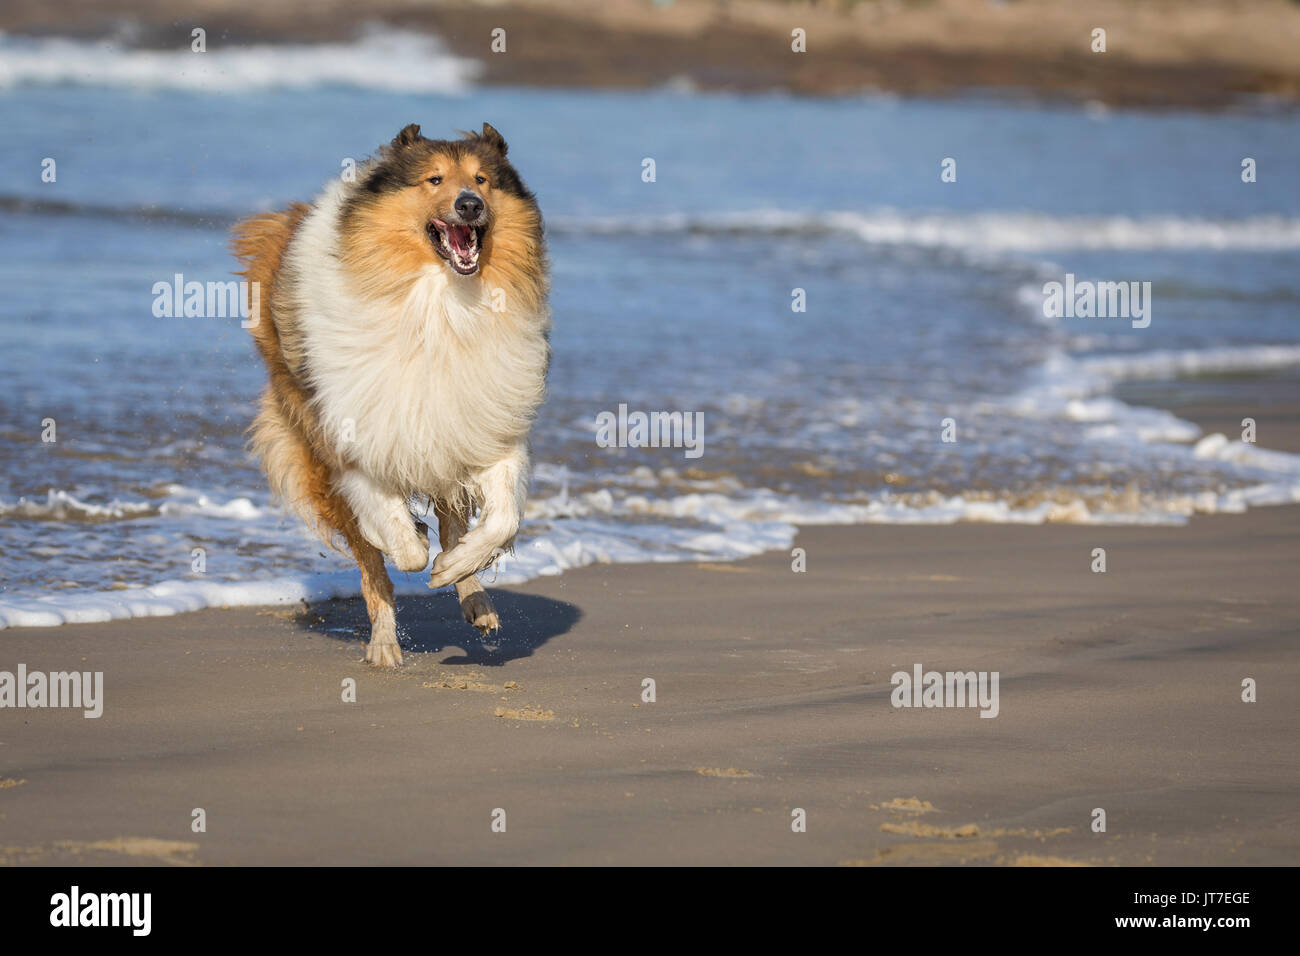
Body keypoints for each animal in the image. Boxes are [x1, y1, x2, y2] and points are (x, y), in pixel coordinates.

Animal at [233, 123, 548, 671]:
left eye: (483, 180)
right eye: (434, 179)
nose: (469, 205)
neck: (441, 306)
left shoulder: (489, 428)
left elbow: (500, 520)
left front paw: (455, 567)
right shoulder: (355, 447)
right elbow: (402, 548)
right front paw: (412, 542)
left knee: (453, 523)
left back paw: (474, 597)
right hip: (315, 452)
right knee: (372, 565)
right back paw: (384, 644)